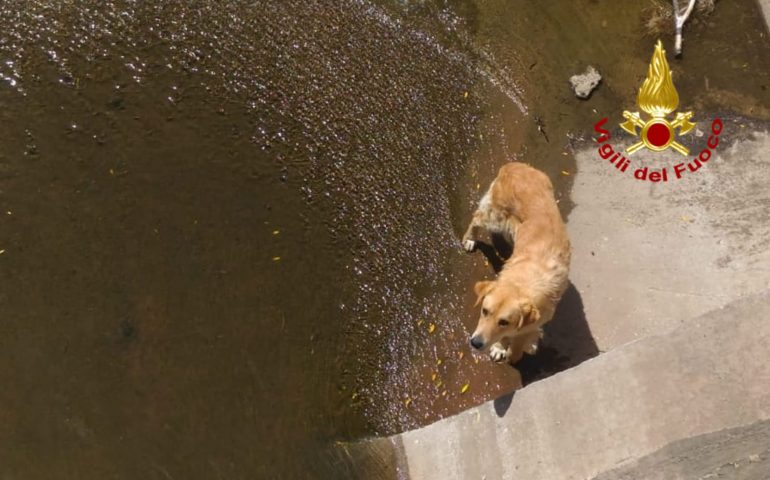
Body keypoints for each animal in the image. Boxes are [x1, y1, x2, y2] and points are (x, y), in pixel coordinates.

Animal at [460, 162, 568, 364]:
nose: (475, 343)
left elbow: (520, 338)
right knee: (476, 218)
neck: (522, 282)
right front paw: (501, 348)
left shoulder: (534, 321)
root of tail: (515, 165)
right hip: (495, 218)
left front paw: (510, 351)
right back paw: (470, 239)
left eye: (504, 322)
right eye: (484, 311)